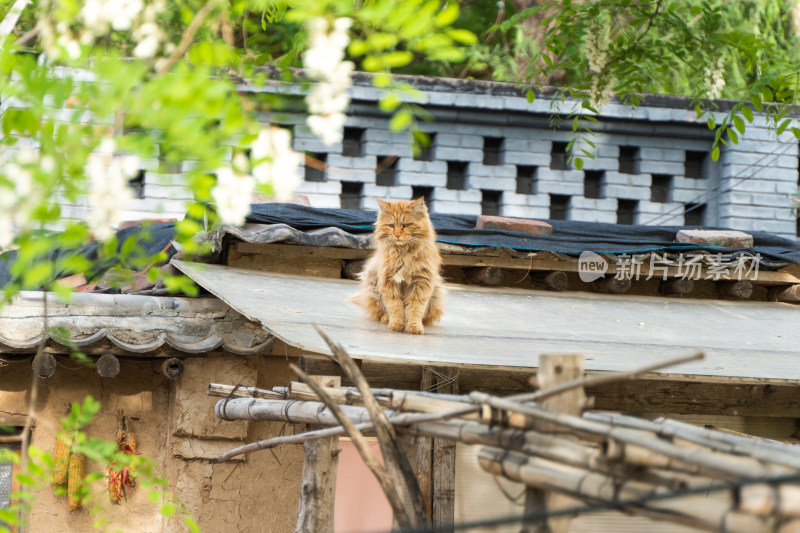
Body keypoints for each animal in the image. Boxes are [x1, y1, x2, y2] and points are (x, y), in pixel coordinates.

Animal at [354, 197, 446, 334]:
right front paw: (397, 324)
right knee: (380, 312)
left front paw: (414, 327)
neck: (403, 253)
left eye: (406, 225)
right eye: (391, 226)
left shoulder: (421, 283)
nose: (397, 235)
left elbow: (415, 308)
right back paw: (386, 319)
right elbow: (395, 307)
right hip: (372, 286)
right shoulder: (389, 282)